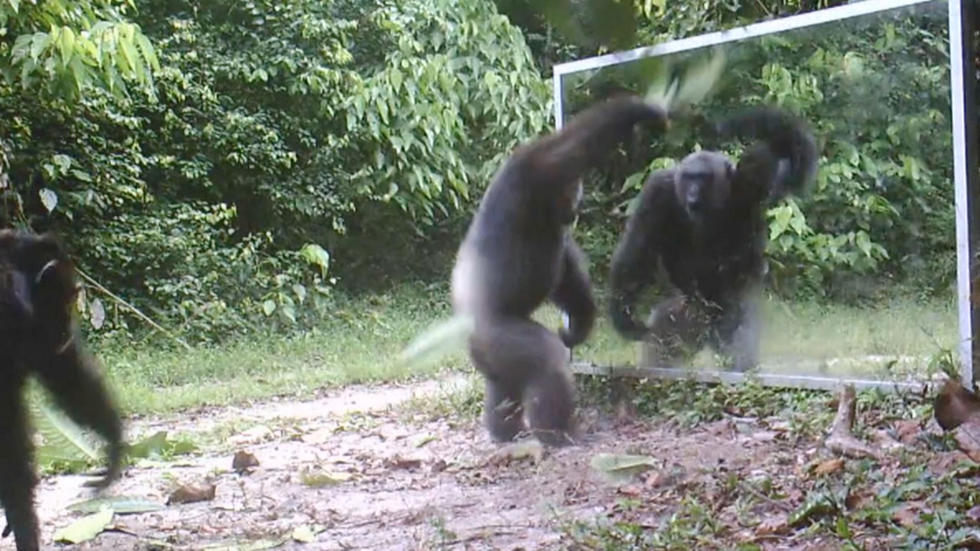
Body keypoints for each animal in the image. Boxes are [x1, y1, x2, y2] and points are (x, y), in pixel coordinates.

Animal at [454, 96, 672, 448]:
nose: (576, 208)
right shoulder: (535, 170)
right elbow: (574, 145)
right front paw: (640, 111)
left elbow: (567, 279)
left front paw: (580, 324)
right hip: (498, 337)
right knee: (548, 362)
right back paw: (558, 432)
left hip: (489, 355)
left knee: (502, 386)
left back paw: (506, 431)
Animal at [608, 105, 816, 374]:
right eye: (689, 177)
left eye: (703, 177)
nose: (693, 192)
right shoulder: (657, 191)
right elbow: (637, 250)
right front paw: (622, 313)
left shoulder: (753, 177)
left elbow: (794, 166)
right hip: (683, 315)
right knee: (661, 354)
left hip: (733, 313)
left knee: (739, 351)